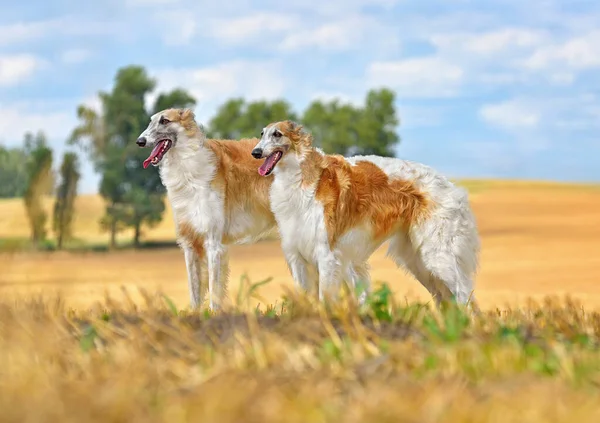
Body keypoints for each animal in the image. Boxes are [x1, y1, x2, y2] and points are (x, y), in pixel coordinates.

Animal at [135, 107, 276, 310]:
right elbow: (194, 291)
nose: (140, 141)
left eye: (164, 121)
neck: (188, 172)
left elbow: (214, 291)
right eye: (151, 121)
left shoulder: (213, 243)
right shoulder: (190, 243)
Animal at [251, 120, 480, 312]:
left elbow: (326, 298)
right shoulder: (297, 254)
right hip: (418, 261)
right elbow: (305, 297)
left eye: (277, 134)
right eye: (261, 134)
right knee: (446, 298)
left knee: (464, 296)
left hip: (437, 255)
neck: (302, 179)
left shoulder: (326, 253)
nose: (255, 152)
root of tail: (451, 187)